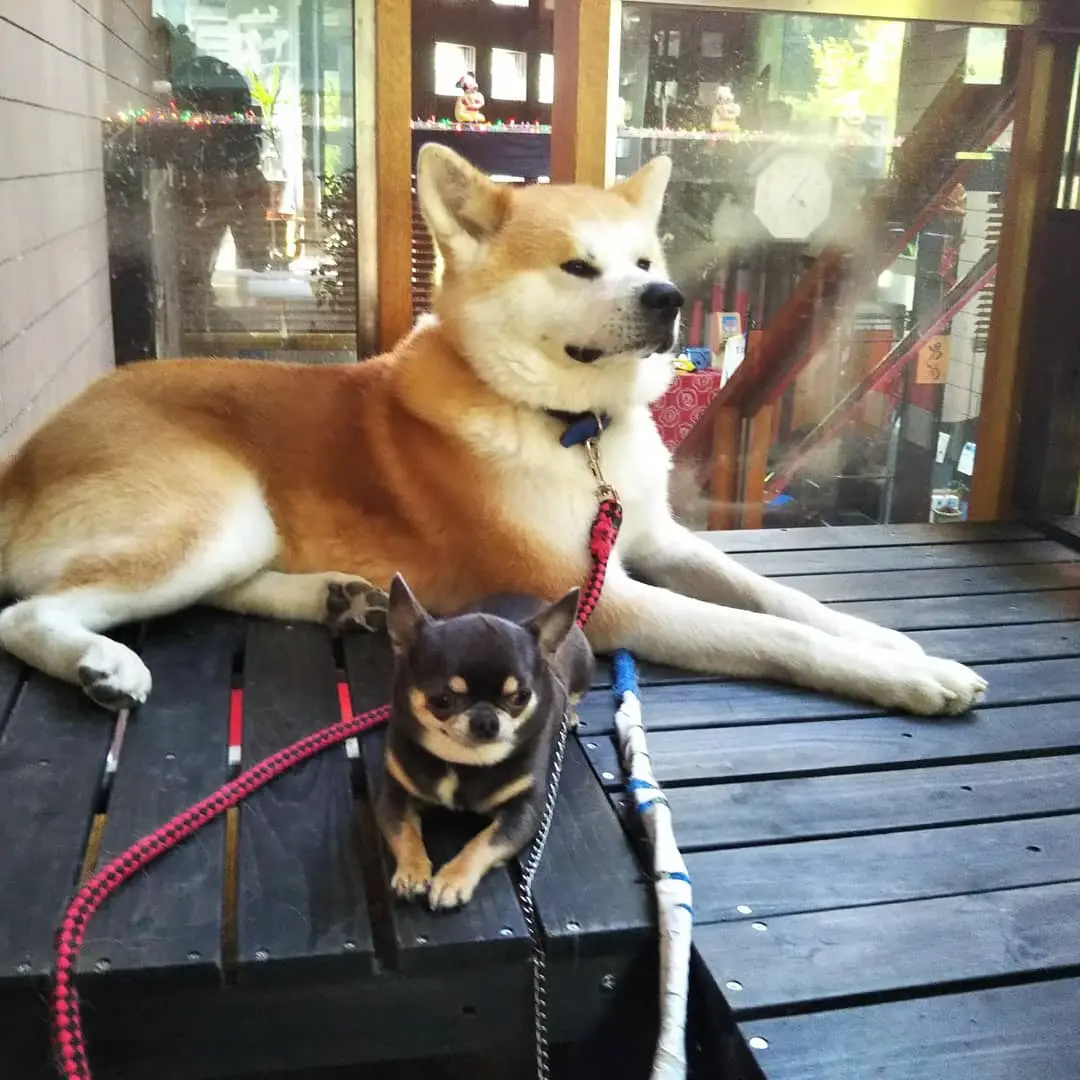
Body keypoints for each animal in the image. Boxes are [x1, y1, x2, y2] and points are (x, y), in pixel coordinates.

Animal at [0, 145, 989, 717]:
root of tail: (26, 455)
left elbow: (783, 600)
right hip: (217, 513)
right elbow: (764, 634)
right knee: (29, 613)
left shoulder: (658, 541)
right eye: (577, 267)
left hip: (238, 534)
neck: (575, 431)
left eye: (645, 260)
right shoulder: (594, 595)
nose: (668, 298)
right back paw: (99, 664)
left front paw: (885, 640)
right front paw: (916, 676)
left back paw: (337, 596)